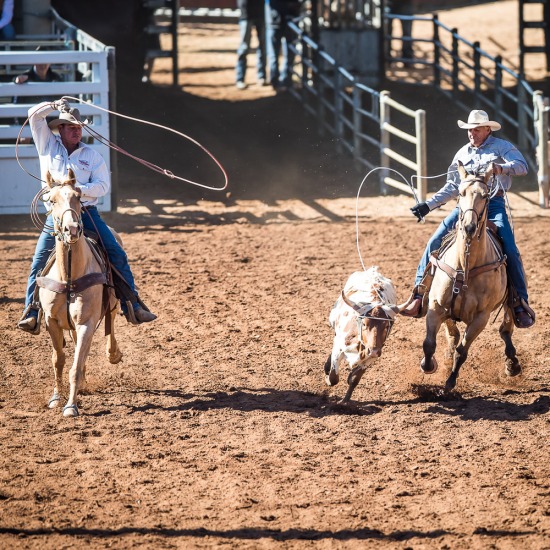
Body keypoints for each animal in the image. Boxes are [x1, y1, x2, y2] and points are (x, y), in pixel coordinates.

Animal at [37, 169, 123, 418]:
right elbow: (59, 359)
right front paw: (56, 398)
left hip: (112, 304)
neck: (69, 276)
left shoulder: (86, 322)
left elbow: (74, 366)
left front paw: (71, 406)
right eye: (52, 200)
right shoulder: (52, 321)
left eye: (78, 196)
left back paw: (113, 354)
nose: (72, 229)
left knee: (110, 325)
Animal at [422, 162, 520, 394]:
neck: (465, 267)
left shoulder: (480, 318)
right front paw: (429, 366)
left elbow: (462, 351)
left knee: (506, 328)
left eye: (485, 195)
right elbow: (430, 344)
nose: (468, 227)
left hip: (509, 302)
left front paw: (449, 383)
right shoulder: (436, 306)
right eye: (460, 193)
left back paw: (512, 364)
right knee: (452, 334)